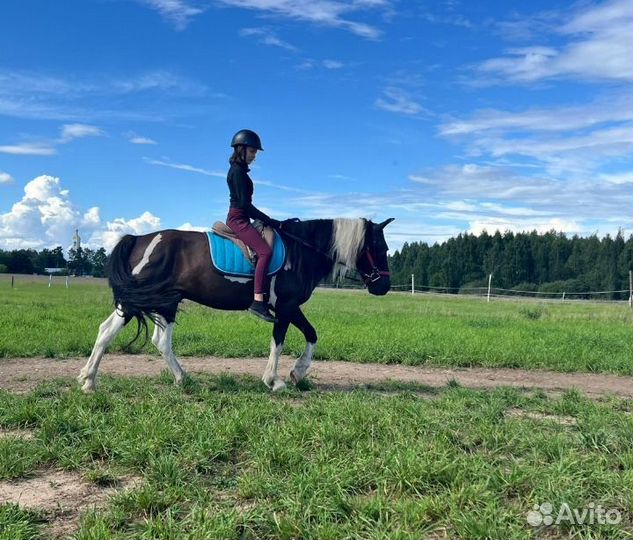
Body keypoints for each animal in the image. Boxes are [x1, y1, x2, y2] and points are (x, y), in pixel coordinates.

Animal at [76, 216, 392, 392]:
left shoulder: (289, 307)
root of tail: (140, 238)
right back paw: (91, 381)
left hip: (164, 302)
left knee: (145, 338)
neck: (301, 251)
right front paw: (274, 380)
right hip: (144, 301)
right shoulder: (286, 307)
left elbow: (311, 335)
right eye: (380, 247)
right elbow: (279, 342)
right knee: (114, 333)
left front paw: (297, 373)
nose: (384, 287)